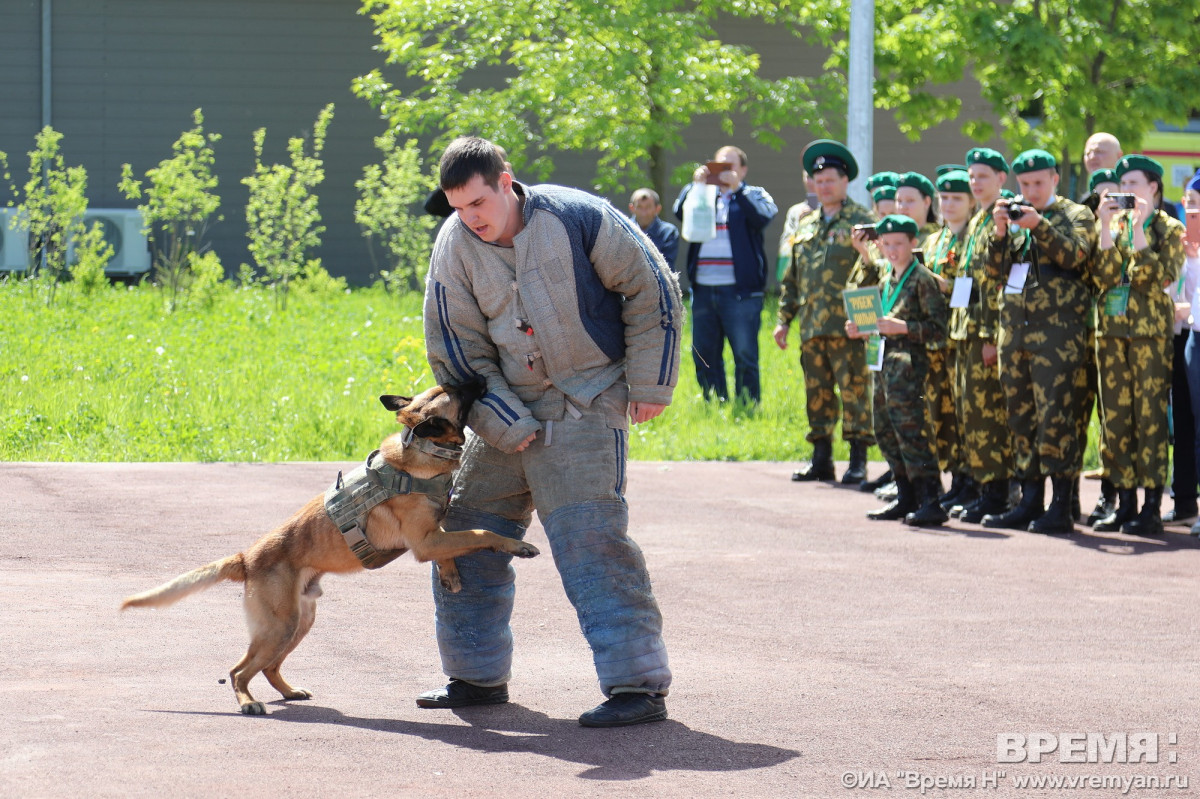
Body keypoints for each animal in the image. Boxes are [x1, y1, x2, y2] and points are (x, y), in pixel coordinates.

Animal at [121, 383, 540, 710]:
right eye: (453, 391)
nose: (476, 376)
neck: (420, 452)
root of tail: (247, 558)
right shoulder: (427, 541)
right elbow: (480, 534)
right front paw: (518, 546)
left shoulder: (435, 537)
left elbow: (453, 551)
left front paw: (451, 577)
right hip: (279, 625)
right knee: (238, 670)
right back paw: (248, 702)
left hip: (299, 622)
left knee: (268, 667)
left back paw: (289, 691)